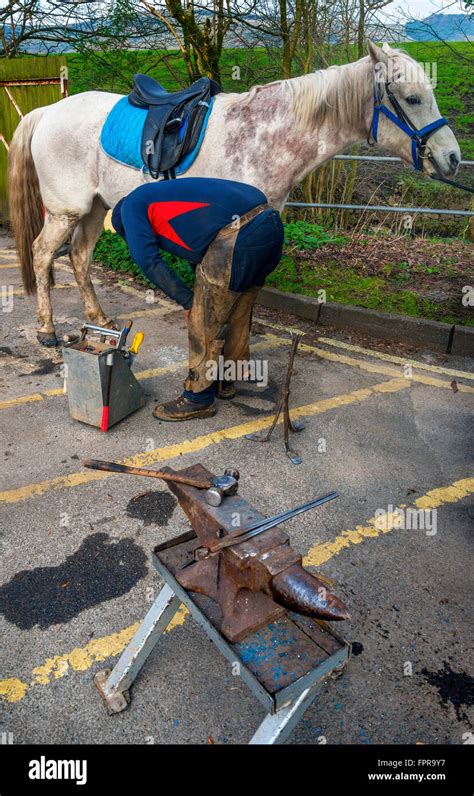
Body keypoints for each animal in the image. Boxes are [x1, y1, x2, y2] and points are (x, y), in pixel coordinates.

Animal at [6, 42, 460, 342]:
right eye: (412, 98)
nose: (453, 157)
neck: (266, 135)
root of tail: (48, 111)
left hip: (95, 209)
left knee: (80, 258)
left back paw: (99, 317)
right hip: (66, 210)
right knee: (43, 254)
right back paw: (46, 329)